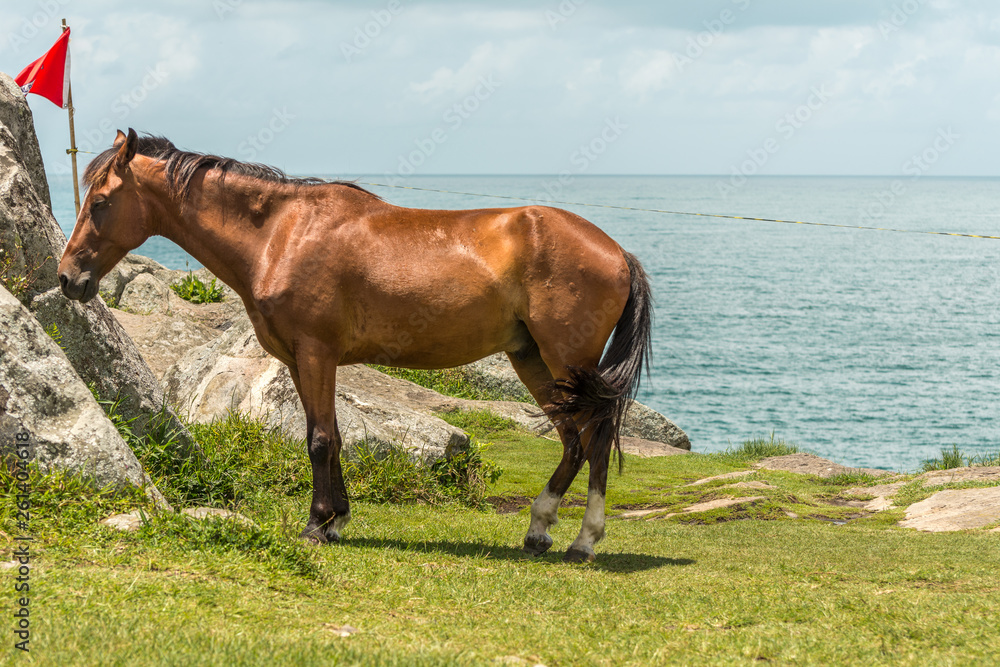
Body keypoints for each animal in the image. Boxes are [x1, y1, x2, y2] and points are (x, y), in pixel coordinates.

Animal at [58, 129, 653, 563]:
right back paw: (540, 529)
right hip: (533, 359)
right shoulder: (299, 360)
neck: (280, 233)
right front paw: (336, 518)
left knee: (596, 437)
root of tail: (617, 251)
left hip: (565, 360)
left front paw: (316, 524)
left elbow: (320, 439)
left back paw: (583, 539)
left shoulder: (316, 353)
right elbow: (330, 436)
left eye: (102, 201)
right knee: (574, 441)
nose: (68, 279)